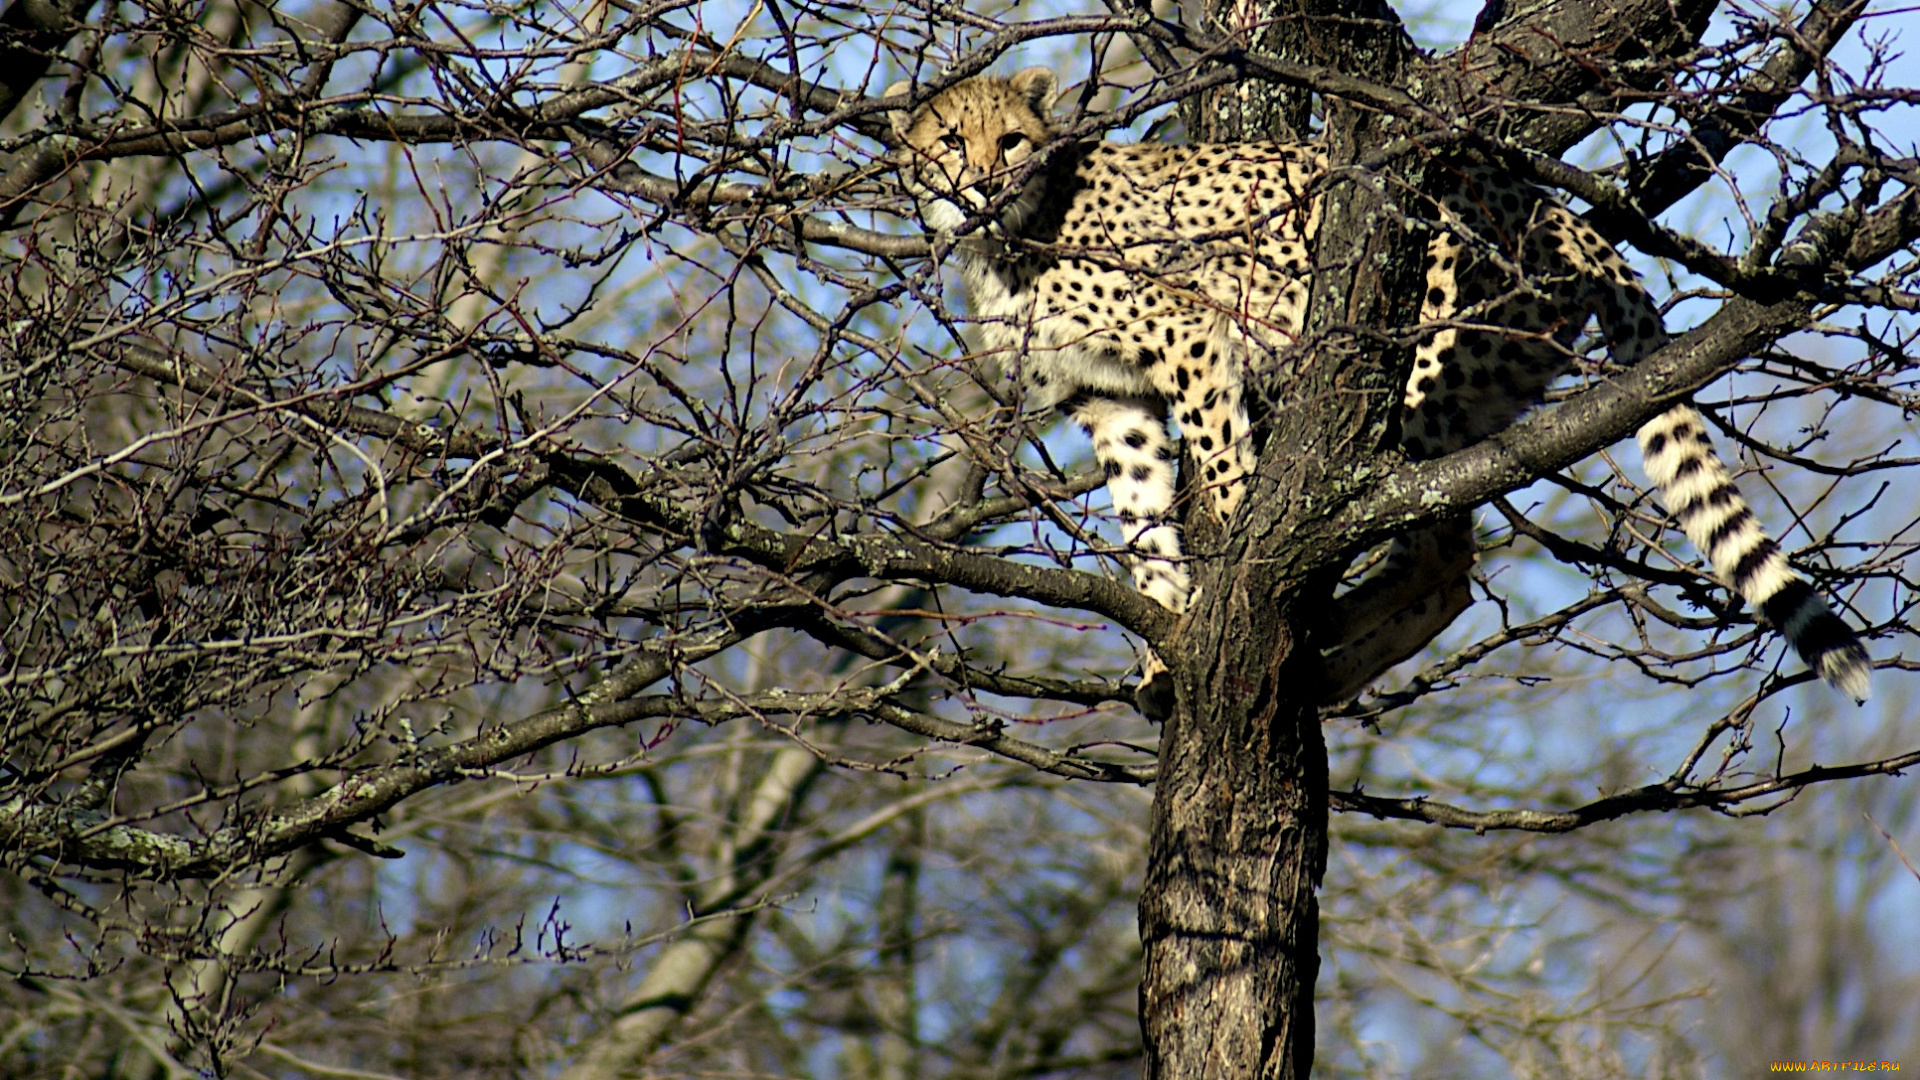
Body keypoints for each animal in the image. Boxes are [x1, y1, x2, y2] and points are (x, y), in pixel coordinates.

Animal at [890, 65, 1866, 707]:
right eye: (950, 142)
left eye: (1011, 140)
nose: (980, 183)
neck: (1011, 237)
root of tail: (1547, 202)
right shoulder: (1109, 399)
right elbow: (1142, 521)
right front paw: (1167, 638)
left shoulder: (1193, 337)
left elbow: (1222, 470)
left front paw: (1235, 568)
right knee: (1446, 567)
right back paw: (1331, 665)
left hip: (1421, 361)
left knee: (1440, 552)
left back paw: (1326, 624)